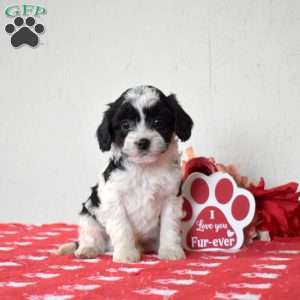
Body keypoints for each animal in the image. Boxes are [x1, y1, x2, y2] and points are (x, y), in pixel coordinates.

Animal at [57, 85, 193, 262]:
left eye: (157, 122)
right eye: (125, 125)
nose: (143, 142)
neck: (144, 168)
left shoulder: (170, 197)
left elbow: (169, 225)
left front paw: (170, 250)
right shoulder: (114, 198)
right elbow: (122, 227)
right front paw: (126, 253)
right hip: (89, 213)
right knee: (91, 236)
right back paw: (88, 249)